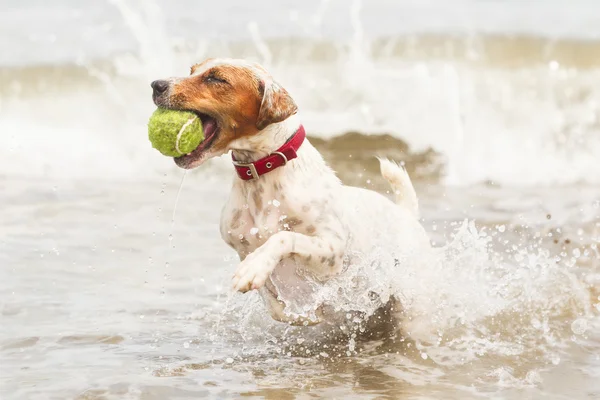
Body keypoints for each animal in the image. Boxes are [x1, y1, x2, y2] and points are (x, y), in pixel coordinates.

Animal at [151, 58, 432, 324]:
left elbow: (283, 237)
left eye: (216, 78)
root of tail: (405, 214)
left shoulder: (333, 252)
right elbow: (276, 306)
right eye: (192, 70)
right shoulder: (243, 249)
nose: (156, 84)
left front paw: (255, 267)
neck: (262, 175)